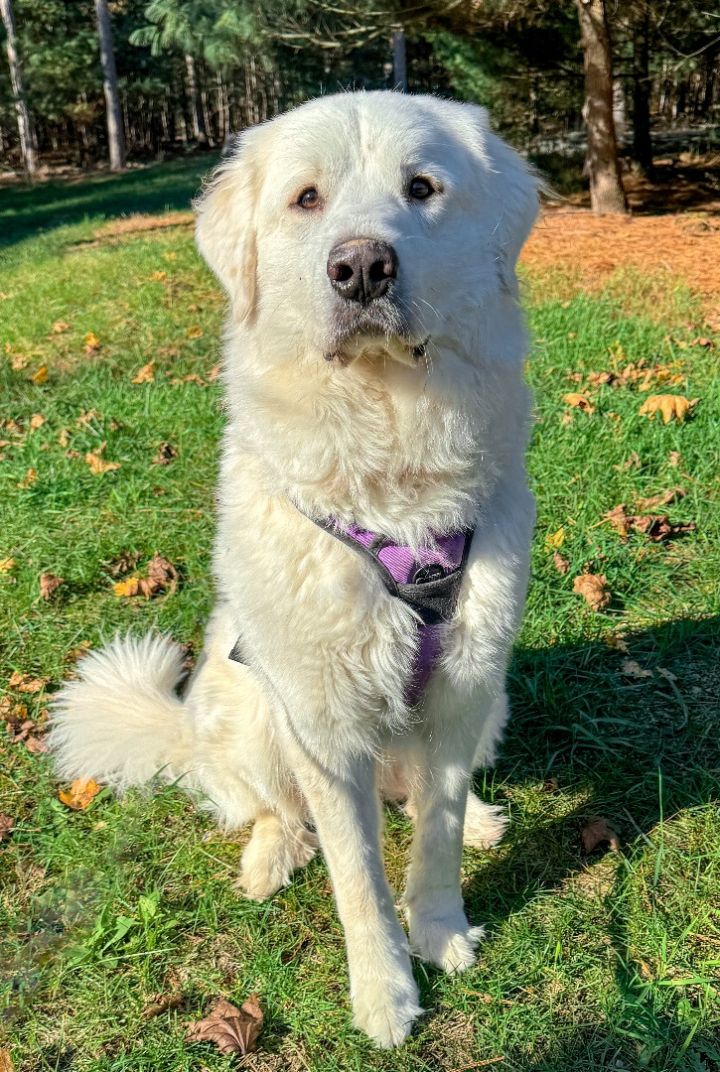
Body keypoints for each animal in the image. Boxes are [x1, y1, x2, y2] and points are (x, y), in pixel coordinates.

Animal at [49, 92, 533, 1046]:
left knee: (420, 798)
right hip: (245, 710)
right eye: (307, 199)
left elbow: (437, 831)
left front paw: (441, 929)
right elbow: (357, 879)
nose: (362, 268)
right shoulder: (323, 721)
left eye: (422, 189)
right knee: (273, 807)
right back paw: (270, 857)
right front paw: (385, 993)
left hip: (487, 703)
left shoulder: (463, 685)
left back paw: (483, 823)